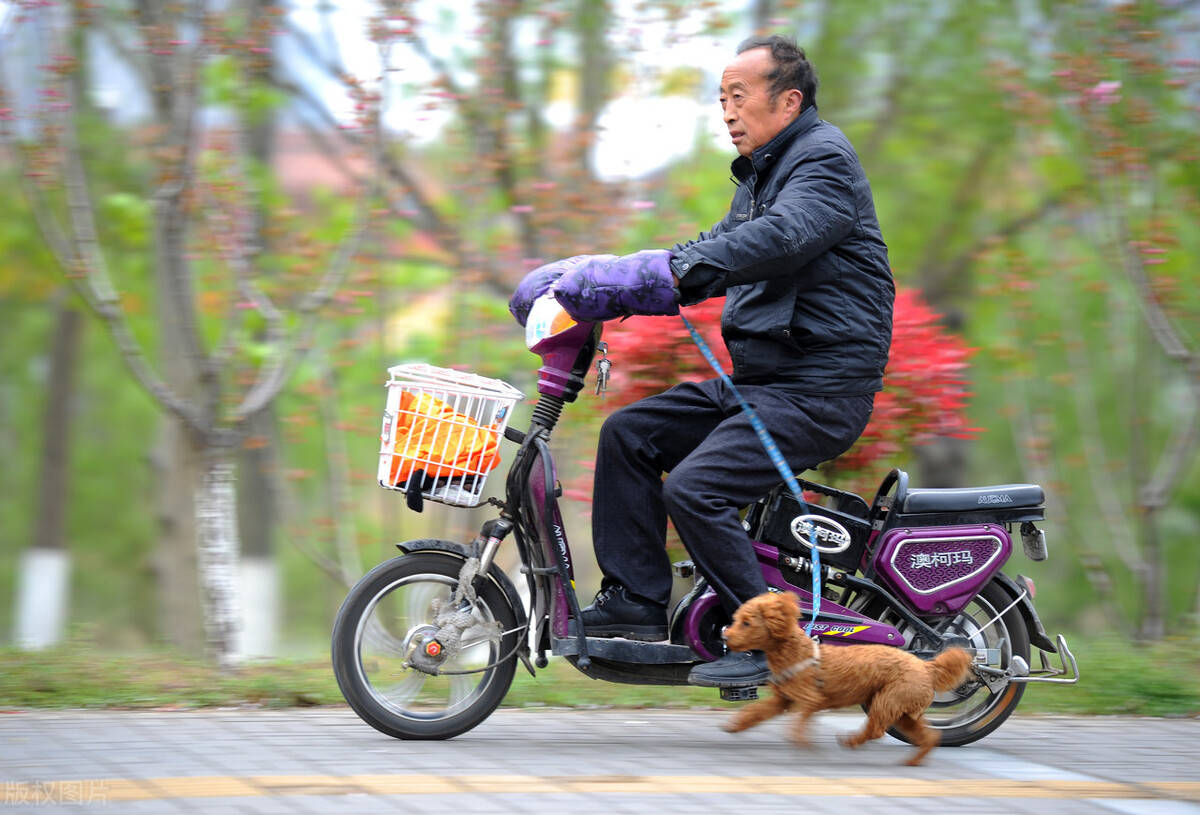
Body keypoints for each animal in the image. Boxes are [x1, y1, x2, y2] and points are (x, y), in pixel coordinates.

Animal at [715, 592, 969, 763]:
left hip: (888, 701)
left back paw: (852, 741)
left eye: (746, 623)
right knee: (929, 736)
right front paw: (736, 725)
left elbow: (797, 725)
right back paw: (914, 761)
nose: (725, 637)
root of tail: (927, 667)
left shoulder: (810, 700)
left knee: (876, 730)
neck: (795, 651)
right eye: (737, 619)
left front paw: (801, 742)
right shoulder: (783, 699)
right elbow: (757, 712)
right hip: (902, 711)